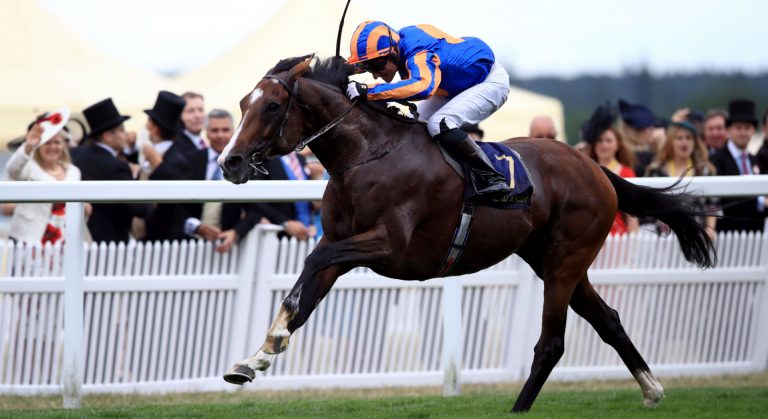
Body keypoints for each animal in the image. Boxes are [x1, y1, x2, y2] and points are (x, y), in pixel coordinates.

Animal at [217, 54, 715, 412]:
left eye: (272, 106)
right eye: (242, 104)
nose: (229, 162)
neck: (366, 154)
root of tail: (594, 166)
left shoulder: (389, 246)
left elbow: (313, 261)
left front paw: (268, 346)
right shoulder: (339, 242)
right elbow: (302, 296)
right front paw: (256, 357)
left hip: (566, 259)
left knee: (551, 343)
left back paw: (519, 409)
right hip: (553, 259)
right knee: (608, 319)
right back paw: (652, 390)